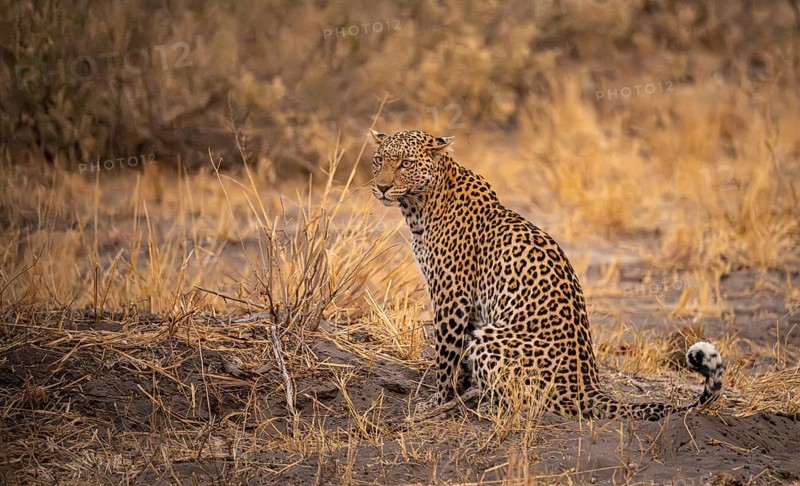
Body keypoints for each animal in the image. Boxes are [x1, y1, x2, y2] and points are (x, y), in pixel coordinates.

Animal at [370, 129, 724, 421]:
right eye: (379, 160)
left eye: (405, 163)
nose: (382, 187)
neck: (420, 206)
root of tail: (587, 388)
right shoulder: (467, 305)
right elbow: (457, 359)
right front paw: (456, 390)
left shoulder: (451, 296)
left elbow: (446, 355)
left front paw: (439, 400)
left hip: (490, 339)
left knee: (529, 403)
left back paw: (481, 405)